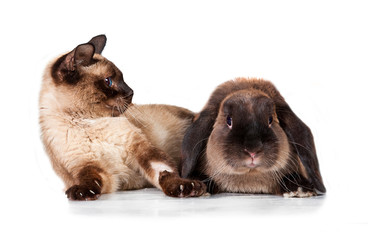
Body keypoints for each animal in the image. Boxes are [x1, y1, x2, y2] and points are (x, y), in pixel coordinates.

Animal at [40, 35, 207, 201]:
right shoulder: (88, 166)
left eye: (122, 79)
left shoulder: (142, 150)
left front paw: (185, 187)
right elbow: (88, 179)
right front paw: (81, 193)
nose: (131, 92)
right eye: (108, 81)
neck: (88, 122)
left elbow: (165, 171)